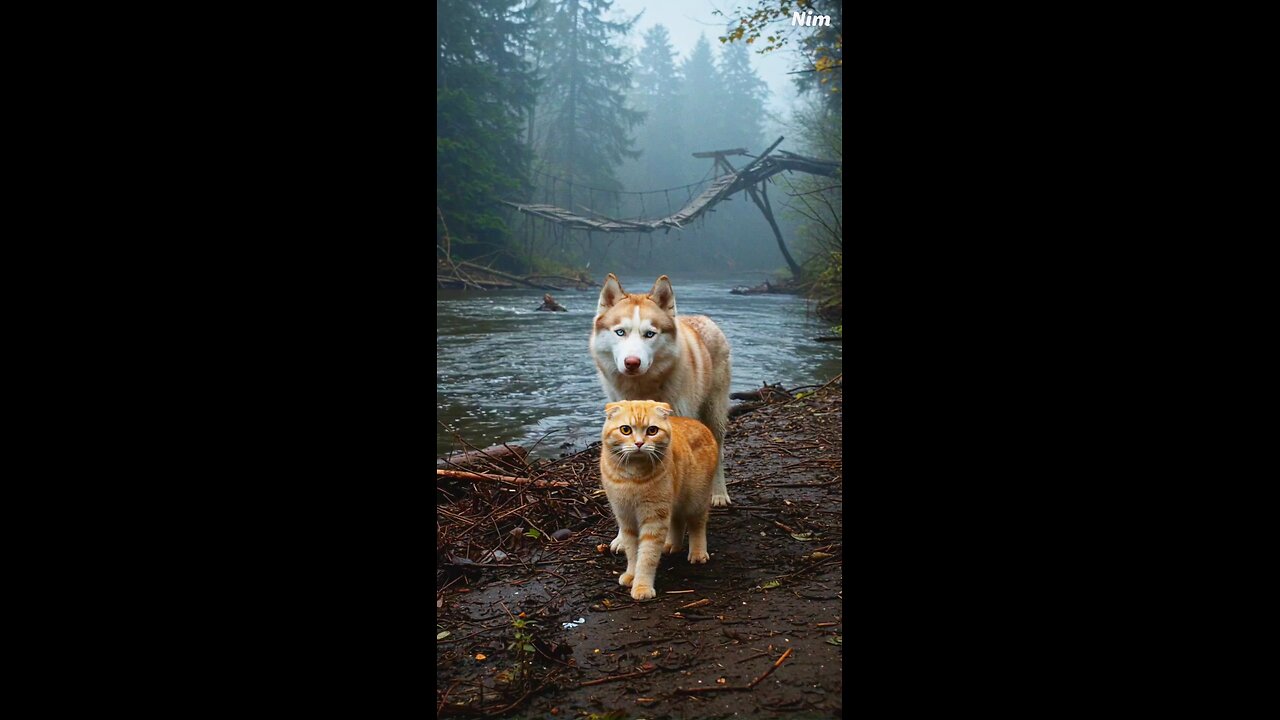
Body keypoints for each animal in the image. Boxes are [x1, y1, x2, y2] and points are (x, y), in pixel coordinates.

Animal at [586, 272, 732, 548]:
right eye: (620, 332)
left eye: (649, 334)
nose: (632, 362)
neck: (642, 392)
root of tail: (703, 318)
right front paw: (622, 537)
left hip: (714, 414)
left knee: (718, 454)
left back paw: (718, 493)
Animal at [599, 397, 721, 599]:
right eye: (626, 430)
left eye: (652, 430)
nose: (639, 443)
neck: (632, 477)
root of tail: (698, 423)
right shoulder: (626, 518)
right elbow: (633, 552)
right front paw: (631, 574)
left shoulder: (654, 519)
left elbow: (646, 557)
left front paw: (642, 586)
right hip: (674, 501)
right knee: (677, 520)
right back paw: (673, 545)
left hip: (696, 500)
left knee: (696, 525)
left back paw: (697, 552)